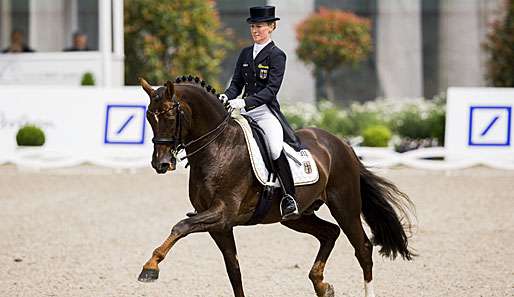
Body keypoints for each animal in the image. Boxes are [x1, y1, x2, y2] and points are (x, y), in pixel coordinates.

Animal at [135, 76, 412, 296]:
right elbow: (234, 271)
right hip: (297, 216)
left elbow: (180, 226)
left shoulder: (222, 213)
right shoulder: (219, 225)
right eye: (149, 117)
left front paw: (150, 267)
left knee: (362, 249)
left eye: (170, 115)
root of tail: (341, 143)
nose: (161, 163)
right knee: (330, 233)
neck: (218, 147)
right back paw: (321, 285)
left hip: (345, 207)